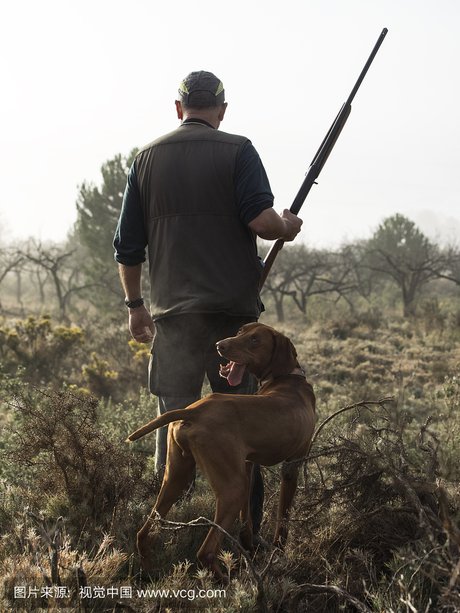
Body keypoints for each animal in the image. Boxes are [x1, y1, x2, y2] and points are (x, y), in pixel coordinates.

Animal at [126, 320, 316, 580]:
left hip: (176, 477)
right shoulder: (291, 466)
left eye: (254, 339)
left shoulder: (248, 465)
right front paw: (278, 553)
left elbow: (247, 520)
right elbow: (283, 519)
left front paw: (249, 548)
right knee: (205, 552)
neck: (288, 379)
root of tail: (194, 411)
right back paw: (228, 580)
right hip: (232, 489)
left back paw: (148, 573)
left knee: (143, 534)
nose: (219, 345)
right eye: (240, 332)